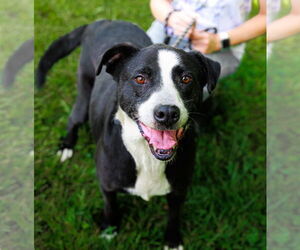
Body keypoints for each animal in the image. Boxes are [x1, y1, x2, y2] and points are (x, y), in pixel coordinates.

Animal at [37, 20, 220, 250]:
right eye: (140, 79)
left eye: (186, 78)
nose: (167, 113)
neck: (147, 155)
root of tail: (102, 22)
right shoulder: (107, 185)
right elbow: (110, 206)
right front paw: (110, 229)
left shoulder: (179, 189)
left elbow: (174, 215)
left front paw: (172, 240)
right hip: (84, 92)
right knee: (74, 118)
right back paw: (67, 146)